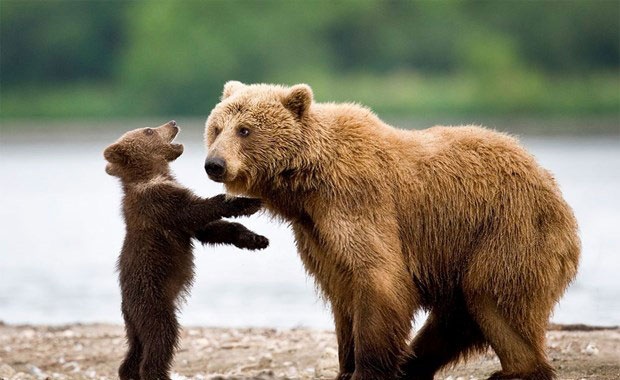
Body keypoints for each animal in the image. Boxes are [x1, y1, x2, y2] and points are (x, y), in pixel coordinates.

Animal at [203, 83, 580, 380]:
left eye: (245, 130)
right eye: (217, 127)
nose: (214, 164)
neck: (305, 183)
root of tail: (552, 186)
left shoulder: (356, 201)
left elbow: (378, 276)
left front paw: (366, 370)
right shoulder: (316, 231)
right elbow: (341, 289)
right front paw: (345, 367)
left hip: (507, 228)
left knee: (493, 298)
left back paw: (515, 370)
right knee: (458, 315)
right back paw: (415, 364)